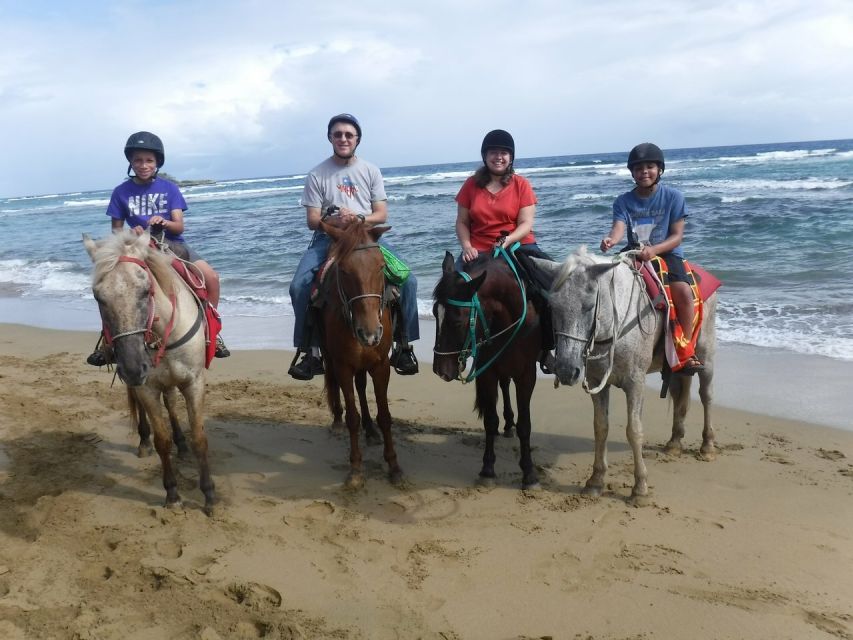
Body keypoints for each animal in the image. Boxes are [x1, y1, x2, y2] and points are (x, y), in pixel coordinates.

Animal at [83, 230, 215, 516]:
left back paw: (182, 445)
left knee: (172, 404)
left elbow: (200, 437)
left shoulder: (194, 381)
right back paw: (144, 441)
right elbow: (162, 441)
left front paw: (210, 496)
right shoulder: (147, 387)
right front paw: (173, 495)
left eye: (146, 290)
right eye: (98, 297)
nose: (134, 367)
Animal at [316, 218, 402, 488]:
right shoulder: (343, 365)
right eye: (344, 270)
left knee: (362, 387)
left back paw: (371, 430)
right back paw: (337, 421)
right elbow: (352, 417)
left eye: (381, 266)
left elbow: (385, 415)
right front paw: (355, 469)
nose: (370, 333)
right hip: (331, 358)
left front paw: (394, 466)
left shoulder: (381, 365)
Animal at [430, 251, 544, 490]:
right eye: (435, 314)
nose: (440, 370)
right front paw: (488, 470)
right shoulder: (487, 372)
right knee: (504, 385)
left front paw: (529, 474)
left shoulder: (527, 376)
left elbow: (525, 425)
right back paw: (508, 423)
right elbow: (490, 421)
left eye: (456, 322)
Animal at [536, 248, 716, 502]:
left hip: (706, 353)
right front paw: (595, 481)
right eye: (553, 307)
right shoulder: (597, 382)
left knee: (706, 396)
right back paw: (674, 442)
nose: (566, 370)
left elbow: (634, 431)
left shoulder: (635, 383)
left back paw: (708, 445)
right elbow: (600, 427)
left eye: (588, 306)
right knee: (679, 395)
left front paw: (640, 488)